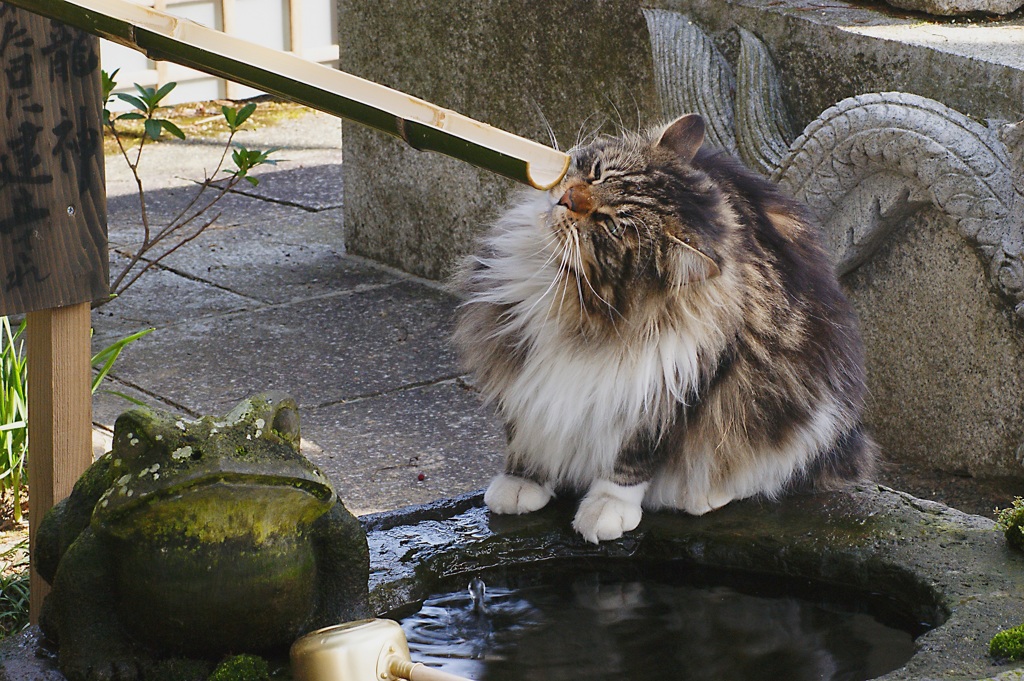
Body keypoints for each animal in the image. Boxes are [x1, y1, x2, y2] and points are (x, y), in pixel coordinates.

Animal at [452, 115, 876, 540]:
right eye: (596, 173)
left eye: (610, 225)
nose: (567, 198)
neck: (580, 305)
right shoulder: (519, 360)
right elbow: (526, 428)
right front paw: (522, 482)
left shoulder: (668, 386)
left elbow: (631, 461)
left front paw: (607, 509)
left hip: (809, 414)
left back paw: (702, 495)